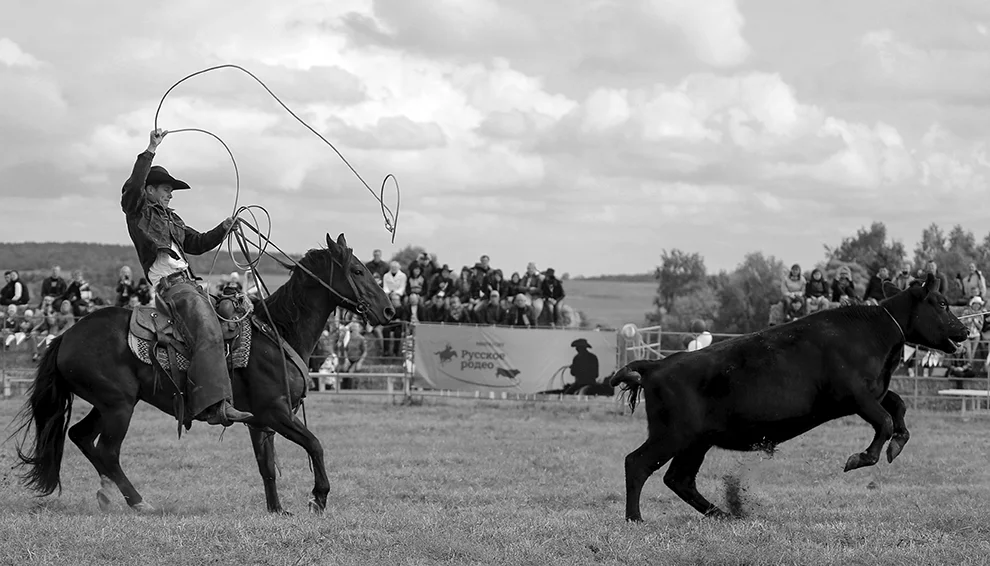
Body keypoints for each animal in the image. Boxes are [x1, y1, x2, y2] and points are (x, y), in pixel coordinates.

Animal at [10, 233, 396, 516]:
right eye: (357, 271)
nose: (390, 310)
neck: (277, 333)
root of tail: (65, 336)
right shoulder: (276, 411)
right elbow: (315, 444)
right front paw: (319, 497)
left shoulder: (261, 422)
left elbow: (267, 466)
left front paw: (276, 510)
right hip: (119, 405)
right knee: (107, 450)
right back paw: (138, 501)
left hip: (107, 403)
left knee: (80, 436)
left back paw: (109, 495)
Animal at [612, 276, 968, 524]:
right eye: (942, 303)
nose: (964, 331)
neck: (876, 333)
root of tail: (656, 365)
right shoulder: (855, 395)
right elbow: (885, 420)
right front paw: (860, 458)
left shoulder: (875, 391)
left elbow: (898, 408)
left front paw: (896, 445)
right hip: (673, 434)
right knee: (637, 463)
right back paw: (635, 519)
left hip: (695, 441)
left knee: (679, 479)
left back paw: (723, 514)